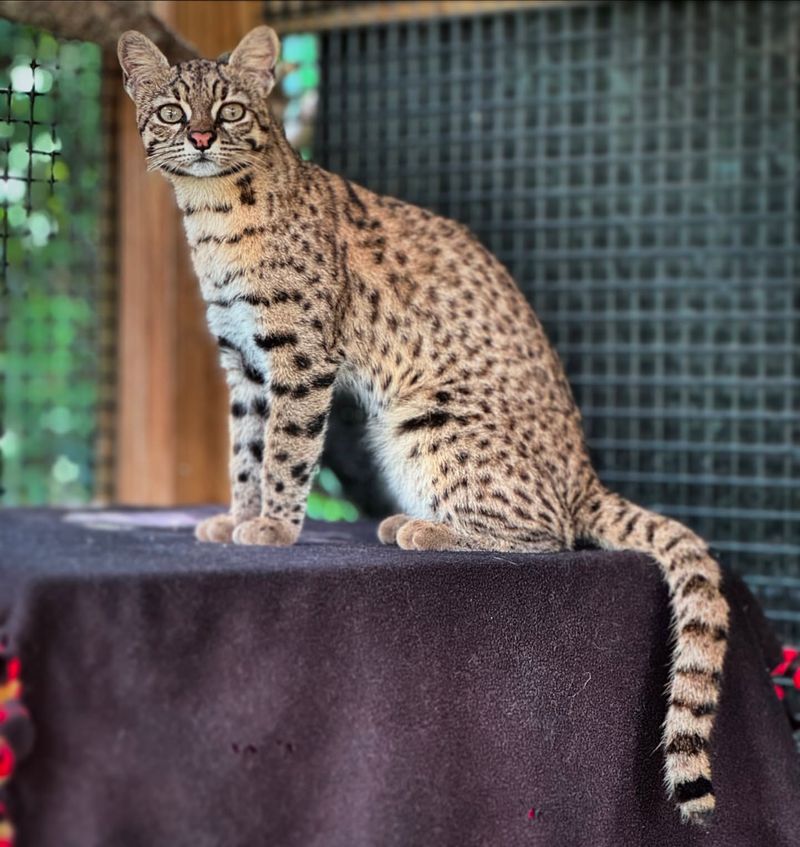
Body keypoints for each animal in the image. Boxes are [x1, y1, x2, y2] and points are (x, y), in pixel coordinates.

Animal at [120, 28, 732, 828]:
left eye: (228, 110)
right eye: (170, 109)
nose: (197, 138)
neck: (213, 215)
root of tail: (585, 474)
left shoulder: (300, 354)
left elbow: (285, 451)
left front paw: (274, 528)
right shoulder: (245, 360)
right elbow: (245, 451)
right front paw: (238, 518)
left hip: (424, 420)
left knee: (552, 534)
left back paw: (423, 528)